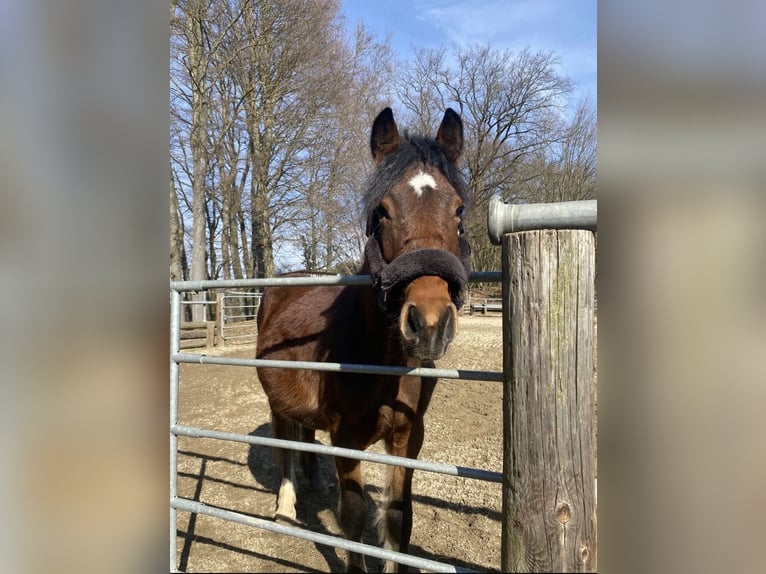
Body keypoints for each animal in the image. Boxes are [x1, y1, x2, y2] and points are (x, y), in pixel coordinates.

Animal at [255, 107, 471, 572]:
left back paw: (313, 478)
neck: (382, 362)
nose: (428, 324)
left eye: (459, 211)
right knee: (284, 446)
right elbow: (353, 518)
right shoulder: (347, 438)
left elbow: (399, 520)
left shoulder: (408, 436)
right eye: (382, 211)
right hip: (275, 401)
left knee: (304, 434)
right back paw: (285, 507)